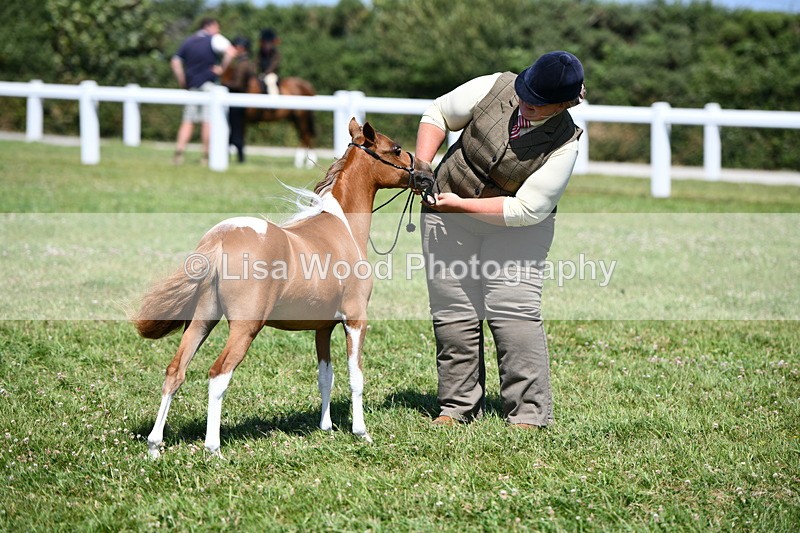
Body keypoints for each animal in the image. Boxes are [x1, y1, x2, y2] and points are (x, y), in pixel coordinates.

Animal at [134, 119, 434, 458]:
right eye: (395, 149)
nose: (427, 173)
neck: (342, 228)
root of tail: (221, 237)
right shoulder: (356, 320)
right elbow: (355, 376)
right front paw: (361, 432)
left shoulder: (323, 327)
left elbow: (325, 376)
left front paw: (326, 427)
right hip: (245, 328)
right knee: (218, 374)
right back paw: (214, 448)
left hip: (202, 320)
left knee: (176, 370)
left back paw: (155, 445)